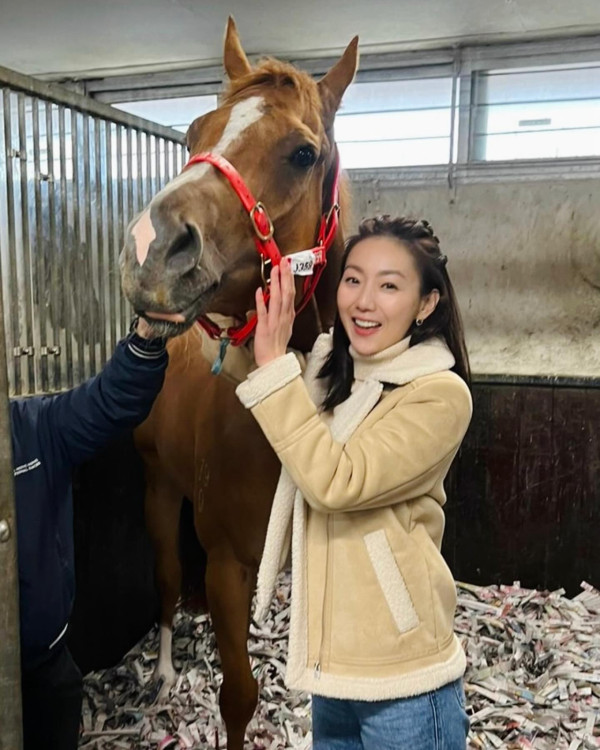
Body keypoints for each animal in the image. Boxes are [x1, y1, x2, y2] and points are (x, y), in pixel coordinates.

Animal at [119, 18, 358, 749]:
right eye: (195, 132)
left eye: (303, 153)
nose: (150, 249)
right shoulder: (225, 564)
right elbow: (239, 696)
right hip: (158, 488)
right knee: (168, 580)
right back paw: (164, 673)